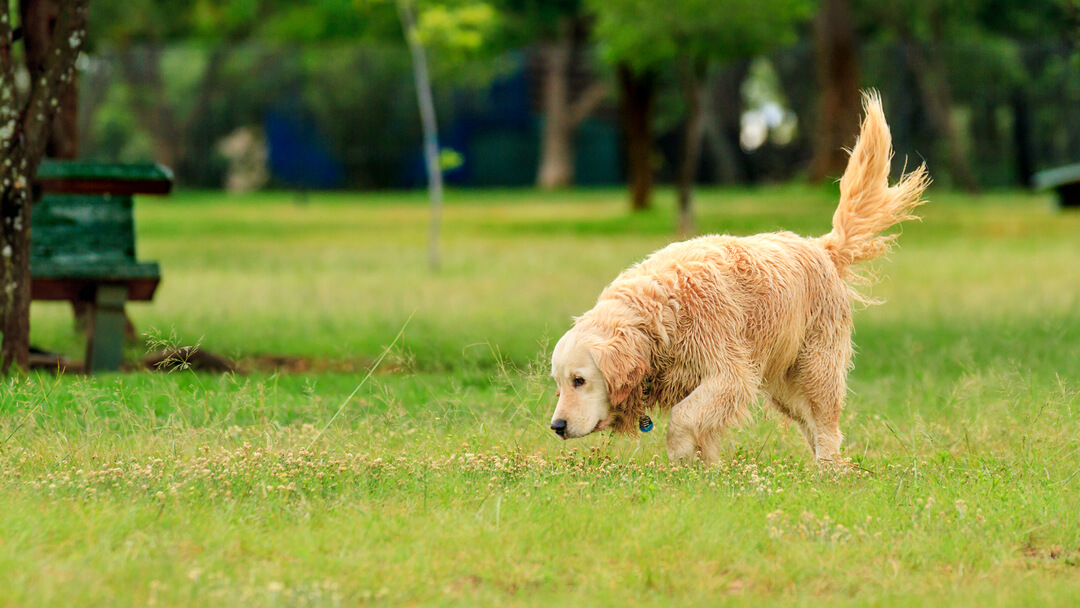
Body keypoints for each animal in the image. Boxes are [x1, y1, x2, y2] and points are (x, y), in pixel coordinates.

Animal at [548, 90, 928, 464]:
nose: (557, 426)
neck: (660, 313)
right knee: (810, 424)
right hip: (784, 387)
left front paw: (680, 459)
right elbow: (703, 432)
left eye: (579, 380)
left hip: (815, 369)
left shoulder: (730, 375)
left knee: (826, 426)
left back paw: (829, 470)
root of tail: (820, 246)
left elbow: (683, 418)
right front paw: (707, 470)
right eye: (560, 383)